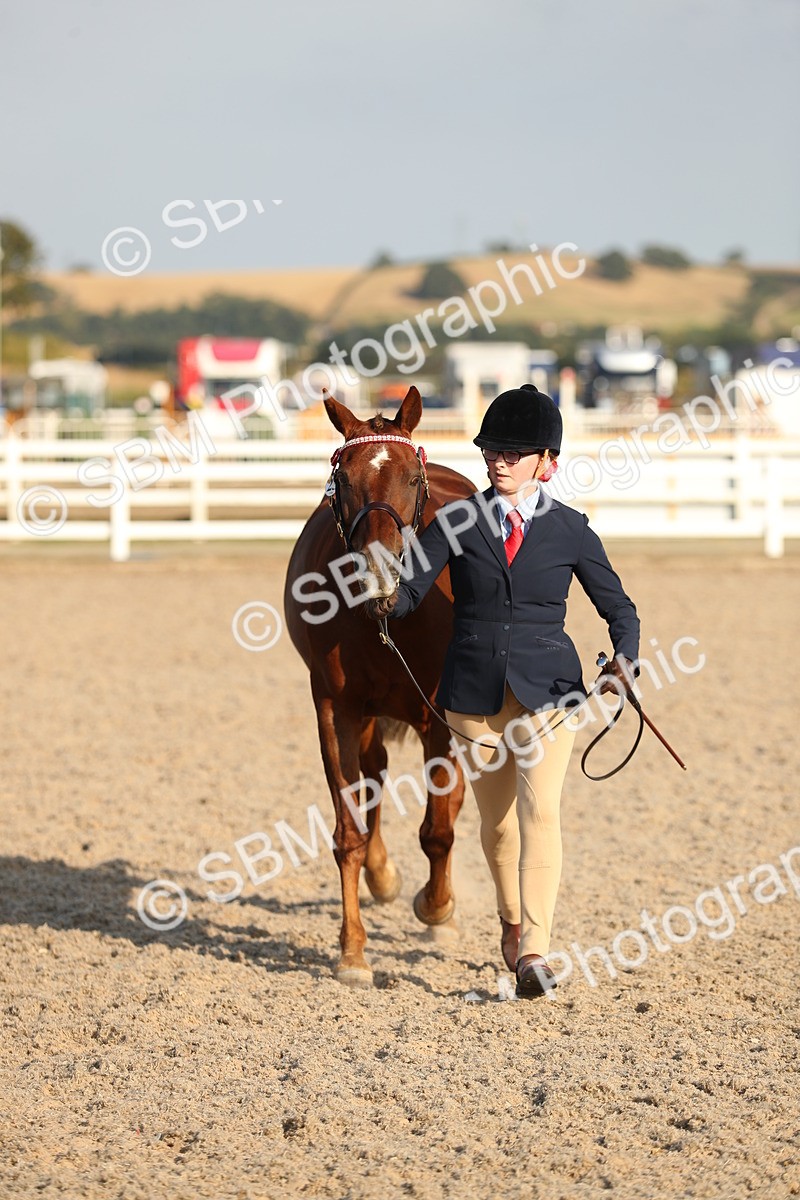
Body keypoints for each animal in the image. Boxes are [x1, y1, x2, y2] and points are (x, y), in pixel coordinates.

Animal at [283, 386, 477, 987]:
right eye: (342, 480)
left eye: (412, 480)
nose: (378, 571)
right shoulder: (336, 708)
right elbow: (349, 830)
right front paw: (352, 951)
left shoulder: (440, 715)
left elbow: (438, 829)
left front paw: (437, 909)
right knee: (374, 777)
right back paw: (383, 875)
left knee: (450, 804)